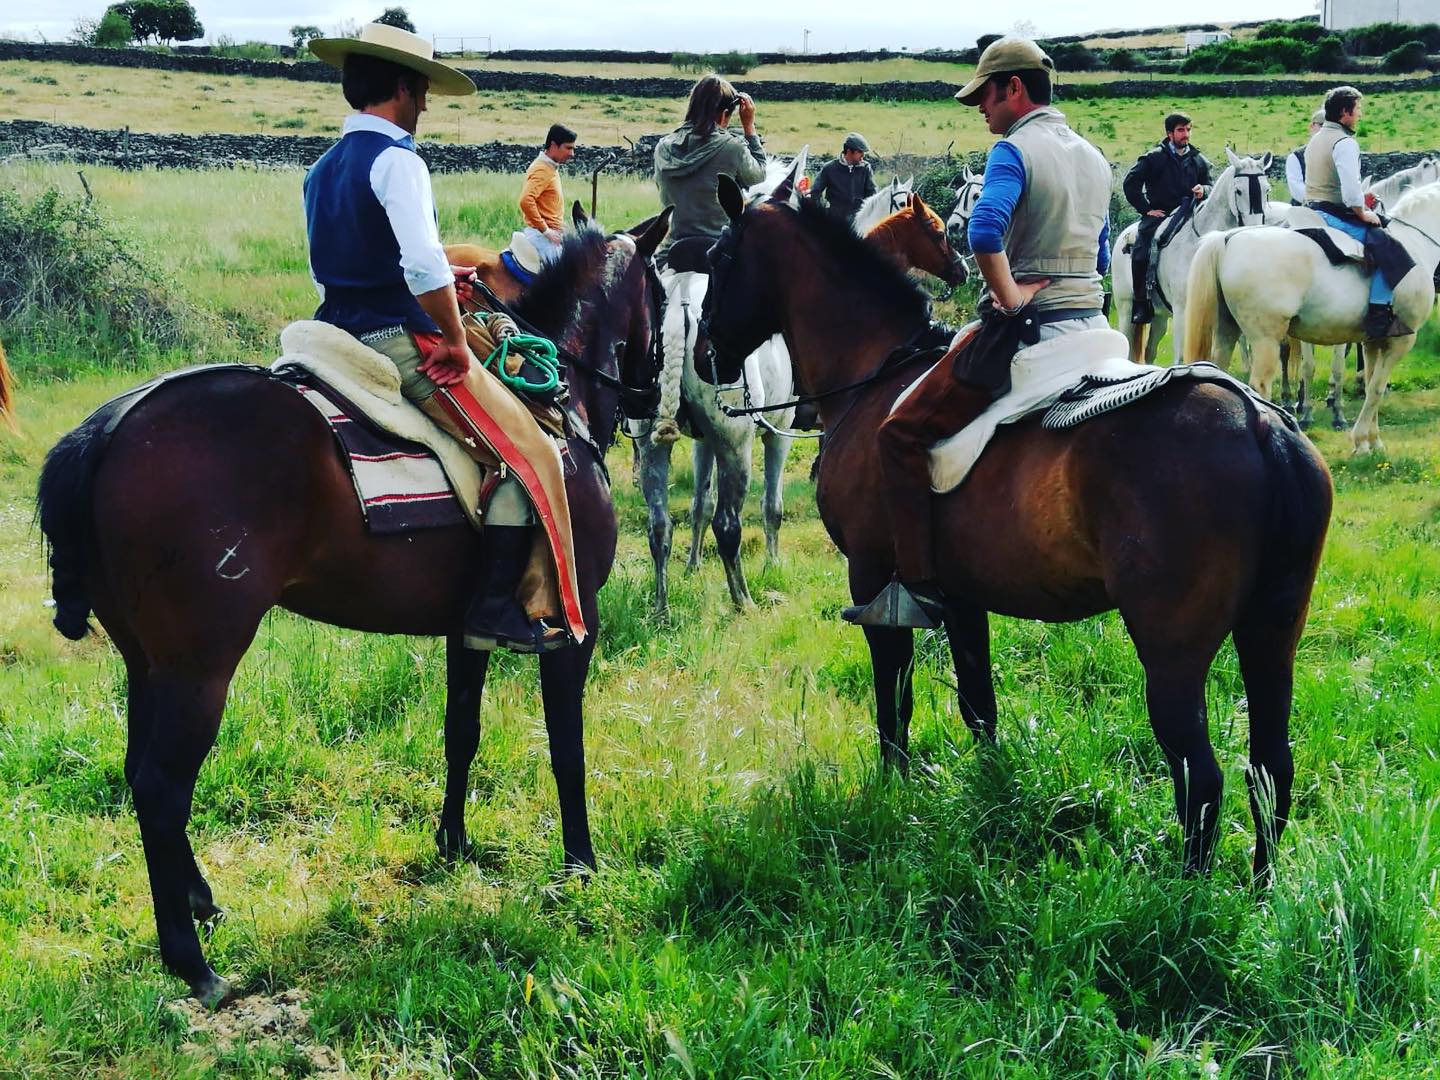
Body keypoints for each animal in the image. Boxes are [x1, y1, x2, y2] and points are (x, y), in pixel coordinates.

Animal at [34, 213, 672, 1007]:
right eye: (665, 298)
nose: (655, 397)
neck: (555, 416)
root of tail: (112, 425)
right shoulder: (572, 628)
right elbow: (566, 748)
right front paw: (580, 863)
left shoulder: (467, 631)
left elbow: (460, 733)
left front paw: (454, 844)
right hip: (198, 668)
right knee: (160, 787)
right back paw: (192, 962)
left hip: (146, 662)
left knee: (137, 771)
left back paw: (201, 903)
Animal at [1110, 150, 1272, 364]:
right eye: (1238, 191)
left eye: (1267, 189)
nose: (1255, 231)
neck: (1202, 245)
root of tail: (1124, 236)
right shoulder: (1182, 312)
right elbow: (1181, 359)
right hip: (1127, 310)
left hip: (1160, 318)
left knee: (1150, 351)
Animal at [1184, 181, 1440, 453]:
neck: (1415, 242)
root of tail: (1228, 238)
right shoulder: (1402, 341)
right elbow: (1377, 389)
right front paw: (1361, 441)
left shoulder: (1374, 342)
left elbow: (1371, 383)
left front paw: (1373, 441)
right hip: (1266, 340)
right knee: (1260, 386)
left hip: (1227, 331)